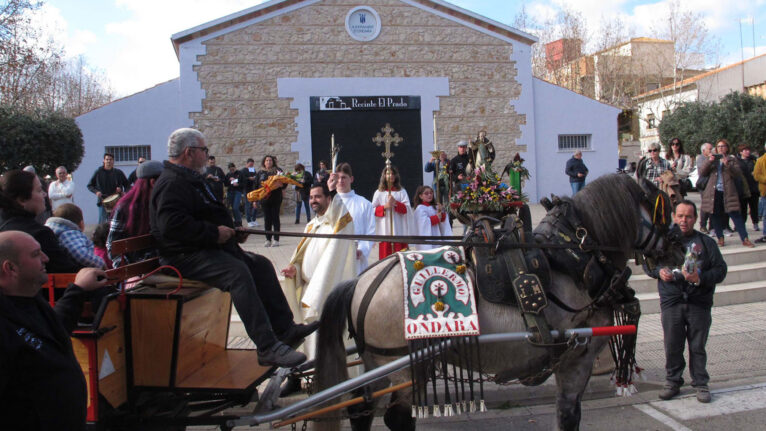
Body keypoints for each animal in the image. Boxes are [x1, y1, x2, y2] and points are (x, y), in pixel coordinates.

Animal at [316, 176, 688, 431]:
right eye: (662, 209)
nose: (680, 245)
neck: (574, 256)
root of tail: (362, 281)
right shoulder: (576, 356)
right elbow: (569, 414)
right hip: (400, 364)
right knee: (396, 416)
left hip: (381, 364)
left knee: (362, 410)